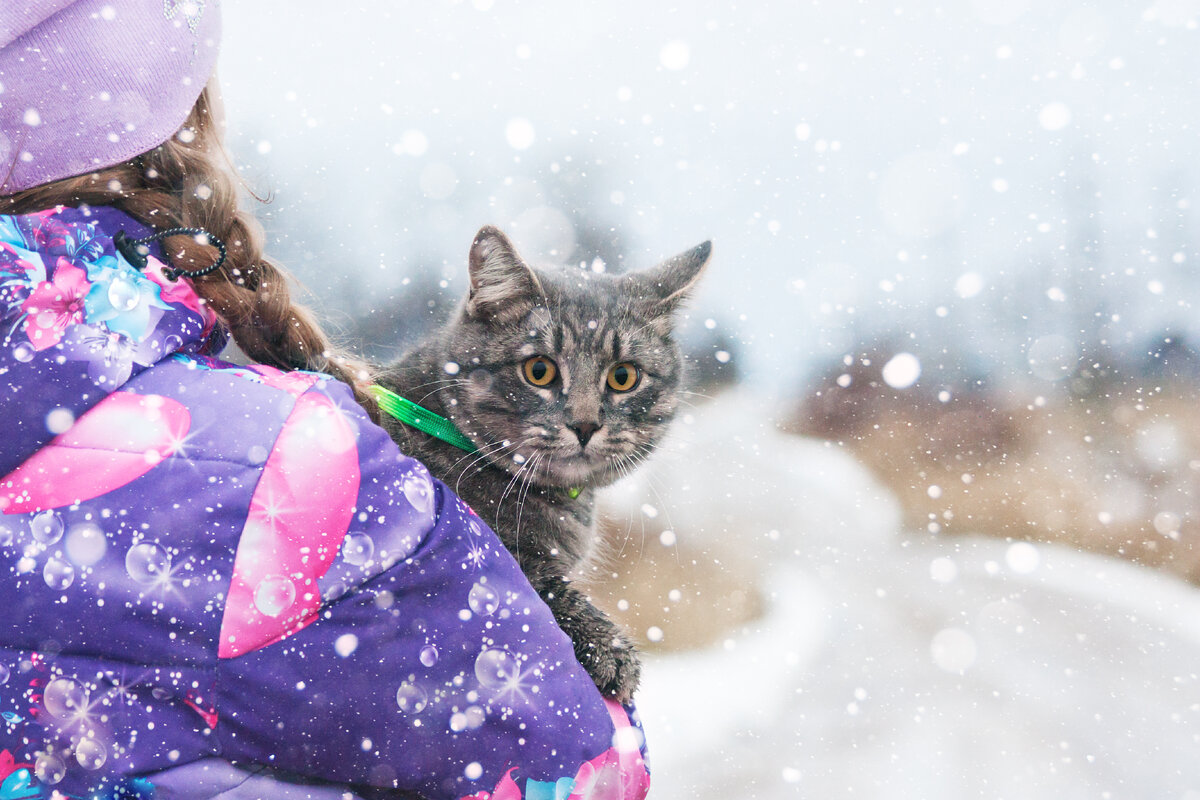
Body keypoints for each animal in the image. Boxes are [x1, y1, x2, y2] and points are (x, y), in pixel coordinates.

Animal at [374, 225, 705, 700]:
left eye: (624, 377)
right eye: (539, 370)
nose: (585, 424)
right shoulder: (501, 557)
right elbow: (540, 586)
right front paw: (610, 647)